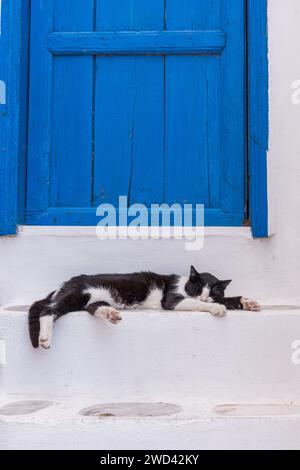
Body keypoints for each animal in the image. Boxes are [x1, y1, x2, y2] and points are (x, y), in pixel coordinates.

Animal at [29, 264, 262, 348]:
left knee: (92, 307)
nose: (205, 297)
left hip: (90, 299)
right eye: (198, 288)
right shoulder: (172, 298)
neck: (183, 282)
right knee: (48, 310)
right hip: (78, 293)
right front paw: (216, 308)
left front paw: (247, 301)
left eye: (213, 291)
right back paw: (45, 338)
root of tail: (63, 284)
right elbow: (192, 302)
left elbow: (228, 299)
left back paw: (111, 313)